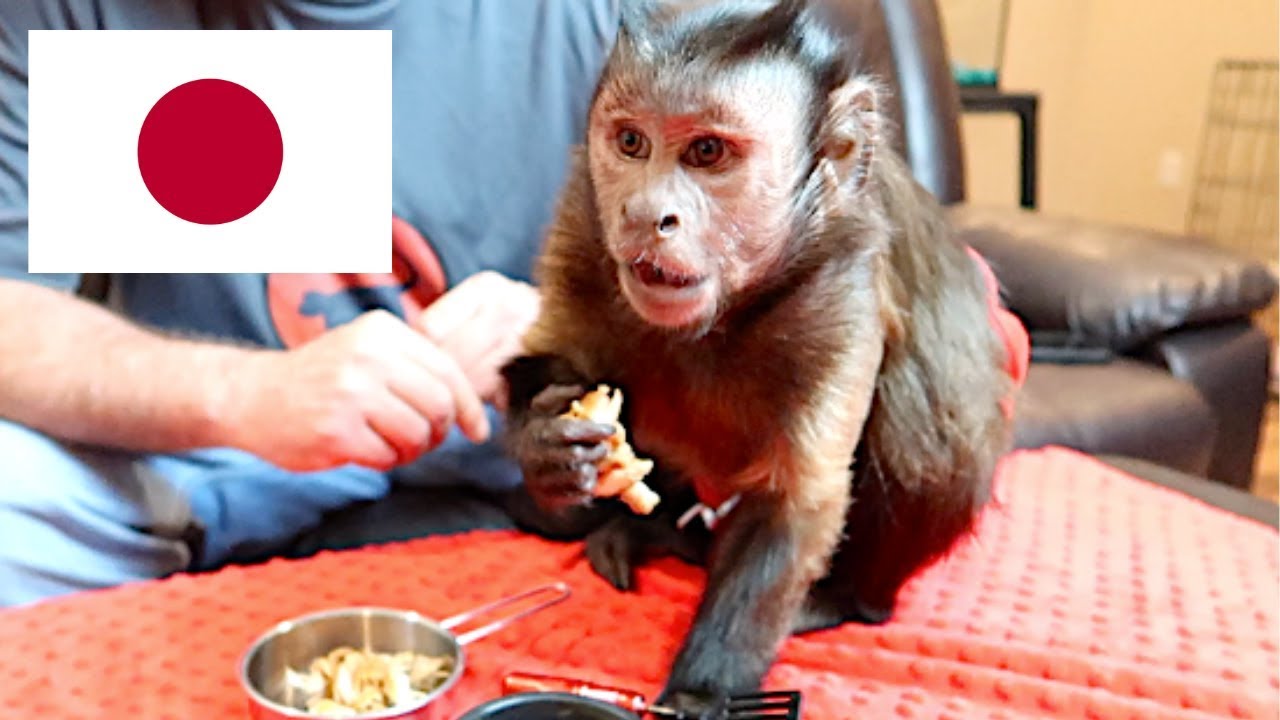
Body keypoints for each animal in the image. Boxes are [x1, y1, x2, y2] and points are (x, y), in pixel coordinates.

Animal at [499, 0, 1019, 711]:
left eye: (706, 152)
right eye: (631, 143)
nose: (645, 212)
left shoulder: (841, 284)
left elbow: (792, 503)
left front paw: (699, 695)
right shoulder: (582, 223)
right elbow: (549, 362)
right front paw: (547, 447)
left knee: (929, 432)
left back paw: (848, 599)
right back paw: (650, 534)